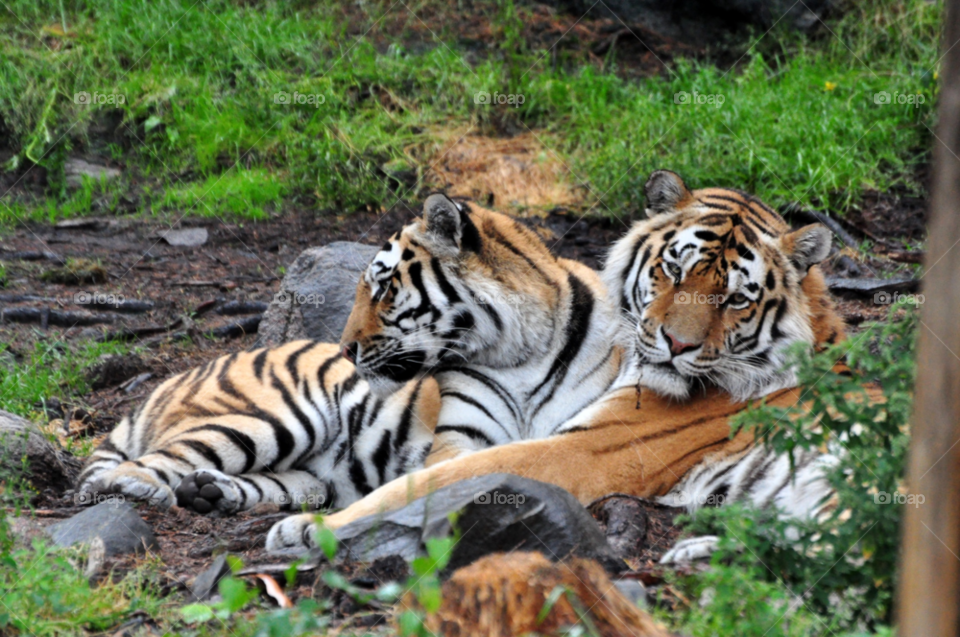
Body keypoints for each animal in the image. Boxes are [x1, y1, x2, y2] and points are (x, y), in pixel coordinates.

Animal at [266, 170, 851, 562]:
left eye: (735, 300)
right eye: (673, 270)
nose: (677, 345)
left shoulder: (588, 447)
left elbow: (425, 483)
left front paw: (307, 528)